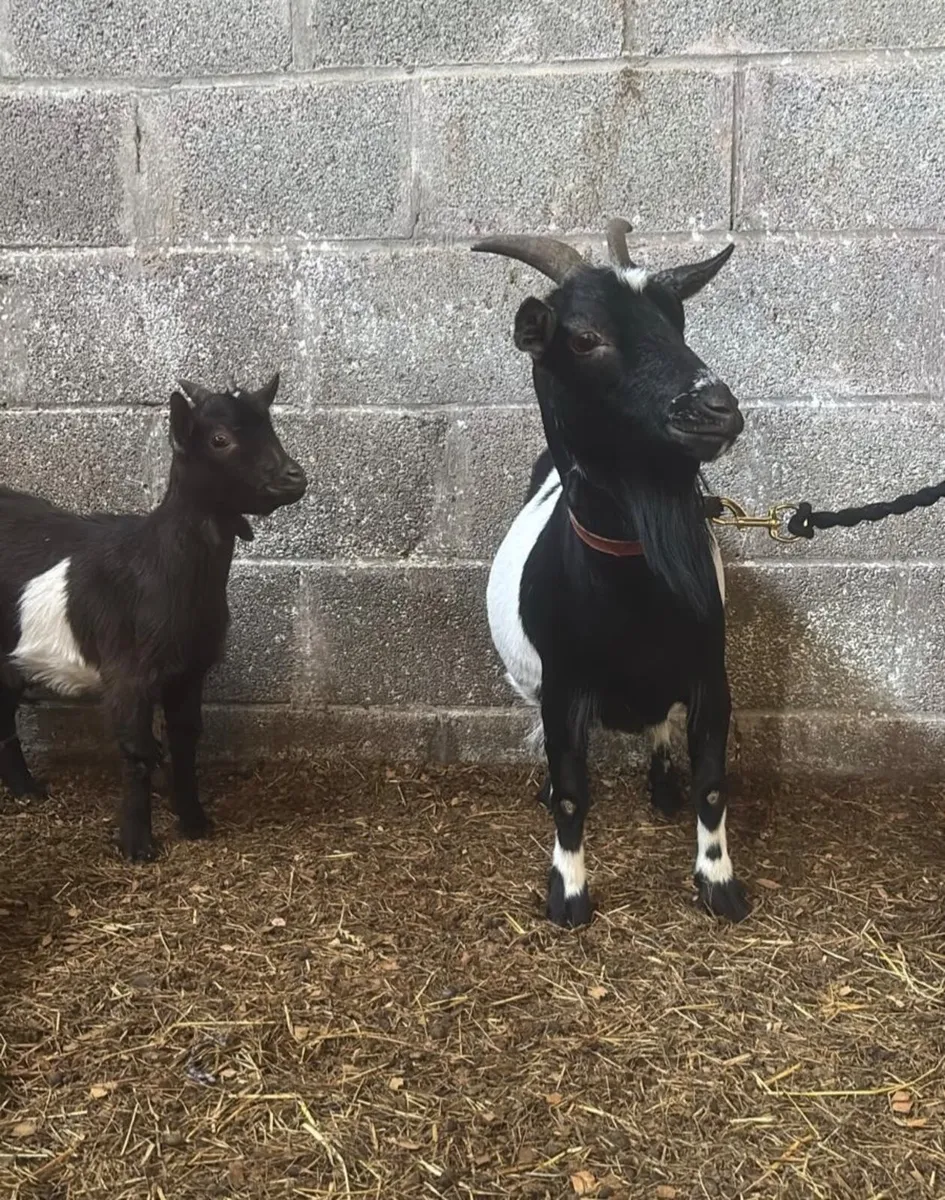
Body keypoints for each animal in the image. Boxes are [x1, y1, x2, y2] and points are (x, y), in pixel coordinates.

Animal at [0, 374, 306, 861]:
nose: (295, 477)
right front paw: (138, 846)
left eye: (271, 426)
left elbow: (185, 739)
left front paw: (195, 823)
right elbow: (140, 751)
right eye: (220, 439)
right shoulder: (129, 673)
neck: (159, 562)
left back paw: (26, 790)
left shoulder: (190, 669)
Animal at [475, 220, 748, 927]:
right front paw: (568, 893)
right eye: (584, 337)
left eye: (678, 319)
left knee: (658, 727)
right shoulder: (564, 685)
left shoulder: (710, 674)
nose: (716, 409)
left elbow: (714, 784)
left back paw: (662, 785)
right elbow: (575, 791)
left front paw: (719, 883)